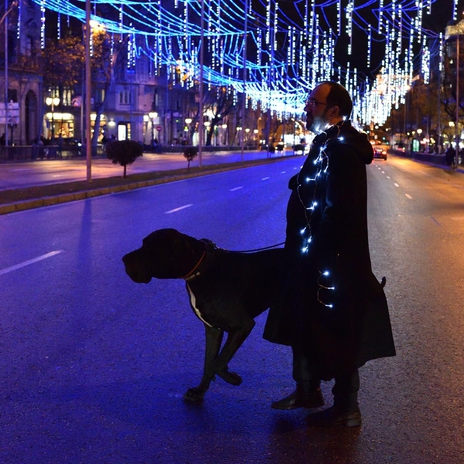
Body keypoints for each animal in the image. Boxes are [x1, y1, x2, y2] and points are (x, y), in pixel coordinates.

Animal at [121, 229, 284, 402]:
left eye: (149, 247)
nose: (124, 259)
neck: (202, 271)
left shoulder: (242, 325)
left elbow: (217, 362)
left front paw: (232, 378)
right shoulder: (212, 329)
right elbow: (209, 362)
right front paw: (199, 392)